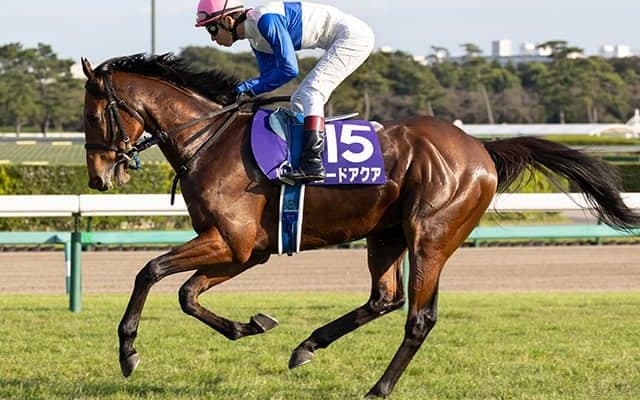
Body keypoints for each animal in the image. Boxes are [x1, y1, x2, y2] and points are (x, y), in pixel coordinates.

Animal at [80, 53, 640, 398]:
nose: (98, 176)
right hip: (386, 234)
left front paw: (128, 352)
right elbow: (187, 294)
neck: (209, 140)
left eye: (92, 115)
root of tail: (481, 147)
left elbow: (151, 272)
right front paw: (250, 325)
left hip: (431, 234)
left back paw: (379, 387)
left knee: (418, 317)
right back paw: (307, 347)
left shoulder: (231, 241)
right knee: (384, 298)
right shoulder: (246, 249)